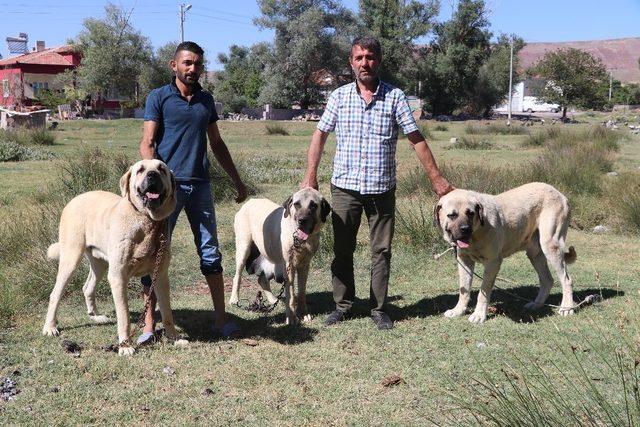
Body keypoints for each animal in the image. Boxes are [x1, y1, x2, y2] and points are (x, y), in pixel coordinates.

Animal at [42, 159, 186, 356]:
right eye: (140, 170)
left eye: (161, 169)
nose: (152, 175)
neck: (146, 221)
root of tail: (74, 199)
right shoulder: (118, 276)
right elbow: (124, 315)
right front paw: (125, 346)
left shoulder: (161, 275)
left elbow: (167, 311)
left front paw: (174, 338)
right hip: (71, 258)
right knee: (55, 293)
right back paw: (50, 327)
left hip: (100, 263)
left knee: (87, 287)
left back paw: (96, 316)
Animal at [229, 189, 330, 326]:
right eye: (297, 204)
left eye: (313, 205)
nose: (302, 220)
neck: (299, 239)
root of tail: (250, 201)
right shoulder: (289, 266)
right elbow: (291, 294)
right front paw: (292, 318)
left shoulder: (305, 265)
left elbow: (302, 292)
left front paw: (303, 313)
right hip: (243, 248)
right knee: (237, 276)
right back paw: (234, 299)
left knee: (262, 280)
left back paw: (273, 300)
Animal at [432, 181, 576, 324]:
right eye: (452, 215)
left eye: (470, 213)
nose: (465, 229)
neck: (477, 231)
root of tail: (560, 194)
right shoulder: (464, 261)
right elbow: (464, 289)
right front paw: (458, 310)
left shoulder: (493, 263)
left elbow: (483, 291)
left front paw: (479, 314)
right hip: (535, 254)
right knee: (547, 280)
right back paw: (536, 304)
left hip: (550, 246)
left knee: (566, 280)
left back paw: (566, 307)